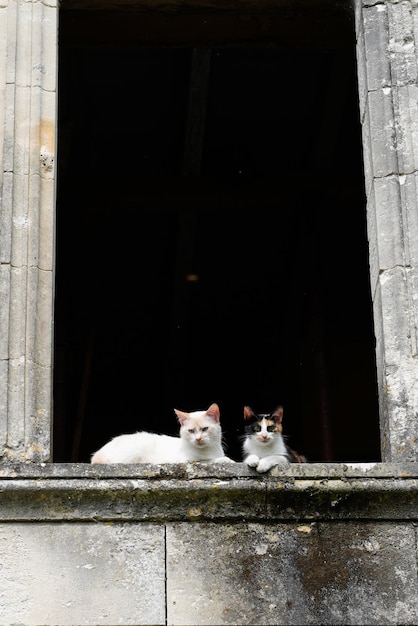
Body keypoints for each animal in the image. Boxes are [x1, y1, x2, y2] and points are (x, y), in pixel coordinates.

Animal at [91, 402, 233, 460]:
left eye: (205, 429)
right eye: (191, 431)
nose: (198, 439)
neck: (208, 451)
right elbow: (209, 461)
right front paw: (225, 460)